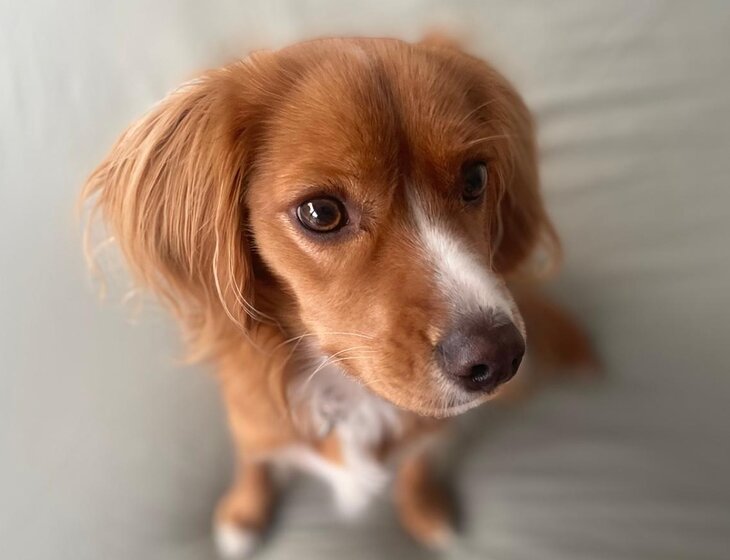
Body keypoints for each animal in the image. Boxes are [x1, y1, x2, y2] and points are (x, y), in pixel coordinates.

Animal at [81, 36, 594, 558]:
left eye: (475, 179)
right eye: (320, 212)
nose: (501, 357)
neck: (350, 393)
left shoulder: (433, 430)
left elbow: (418, 463)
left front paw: (425, 510)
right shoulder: (251, 422)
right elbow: (253, 460)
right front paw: (243, 512)